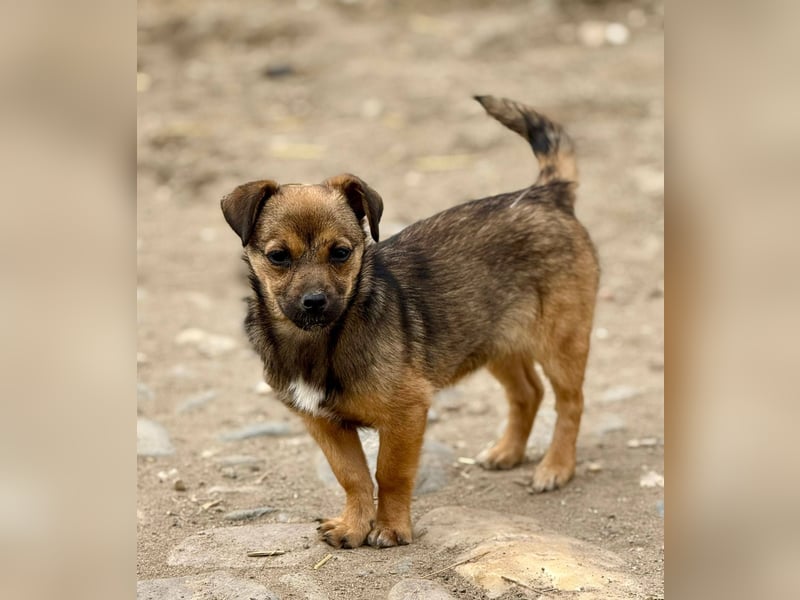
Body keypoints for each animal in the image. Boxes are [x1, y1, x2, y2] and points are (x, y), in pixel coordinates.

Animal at [221, 96, 599, 549]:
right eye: (278, 257)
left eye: (341, 253)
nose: (314, 302)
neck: (323, 339)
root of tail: (545, 194)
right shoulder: (323, 424)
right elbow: (353, 476)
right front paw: (354, 526)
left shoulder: (406, 414)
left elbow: (390, 473)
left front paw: (391, 527)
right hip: (492, 339)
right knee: (528, 393)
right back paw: (507, 452)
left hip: (561, 340)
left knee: (570, 402)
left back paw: (556, 468)